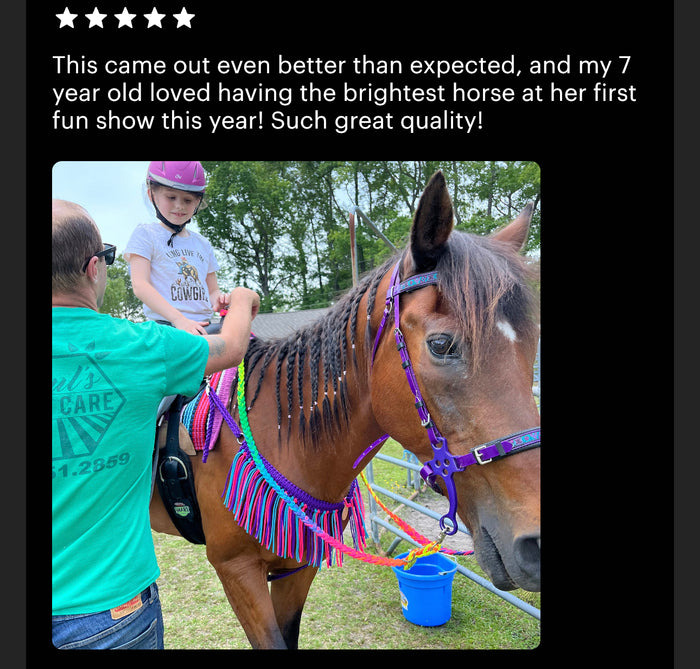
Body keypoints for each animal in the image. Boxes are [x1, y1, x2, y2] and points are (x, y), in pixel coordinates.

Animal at [150, 171, 541, 649]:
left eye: (531, 342)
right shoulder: (236, 570)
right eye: (441, 344)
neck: (282, 433)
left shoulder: (297, 568)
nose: (536, 545)